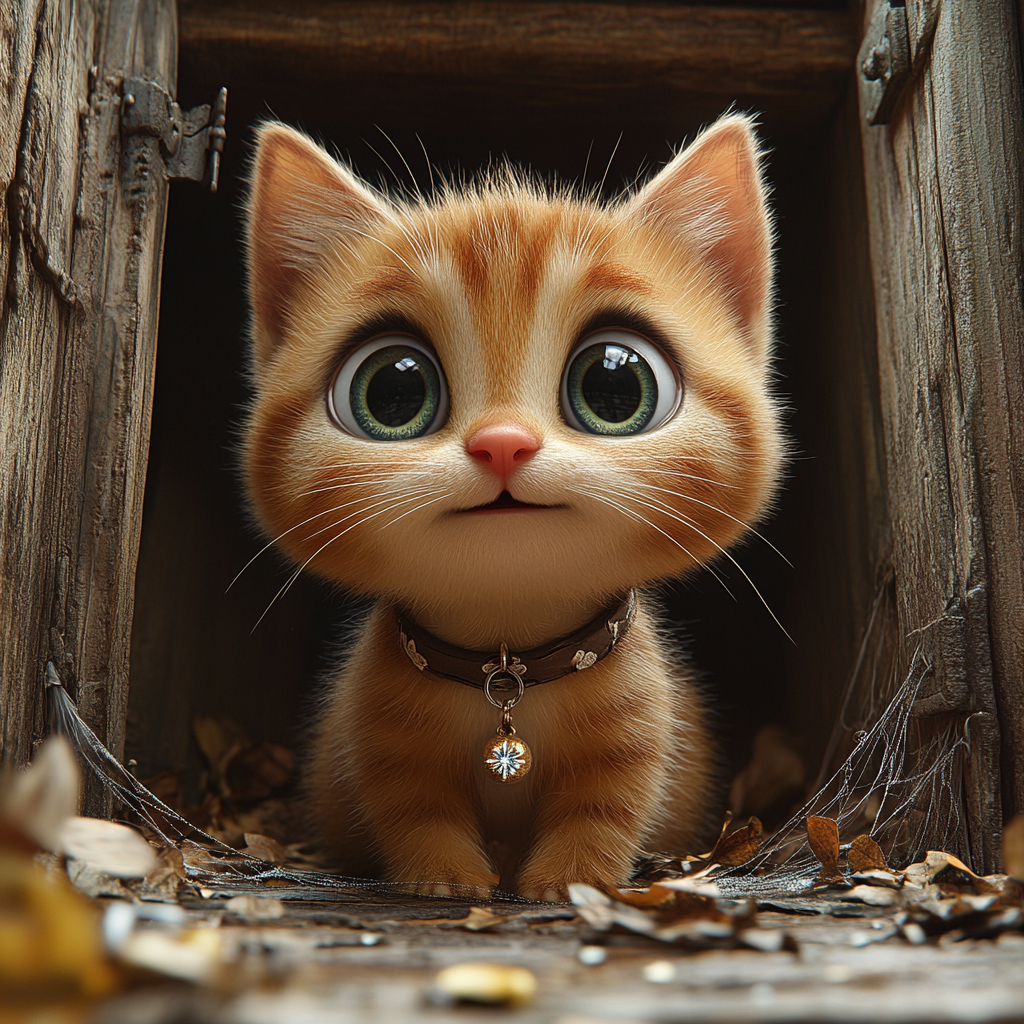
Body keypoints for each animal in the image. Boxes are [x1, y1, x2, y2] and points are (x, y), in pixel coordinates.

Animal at [241, 112, 782, 897]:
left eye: (615, 386)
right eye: (394, 388)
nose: (503, 443)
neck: (509, 666)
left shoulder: (632, 732)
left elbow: (602, 809)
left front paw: (571, 880)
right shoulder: (386, 739)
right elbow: (416, 808)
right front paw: (445, 877)